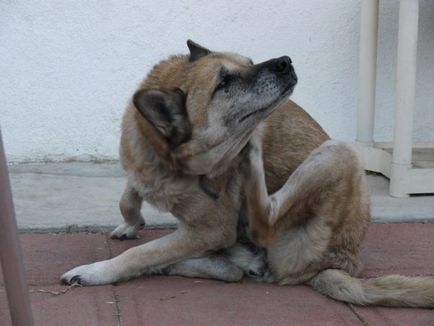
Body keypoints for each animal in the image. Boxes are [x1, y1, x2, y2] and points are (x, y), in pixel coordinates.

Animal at [61, 40, 434, 308]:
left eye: (250, 61)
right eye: (224, 82)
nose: (285, 61)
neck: (165, 161)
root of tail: (341, 262)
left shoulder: (211, 229)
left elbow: (138, 254)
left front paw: (96, 271)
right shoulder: (141, 169)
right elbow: (129, 195)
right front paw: (130, 222)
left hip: (339, 152)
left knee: (260, 224)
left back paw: (250, 153)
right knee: (229, 269)